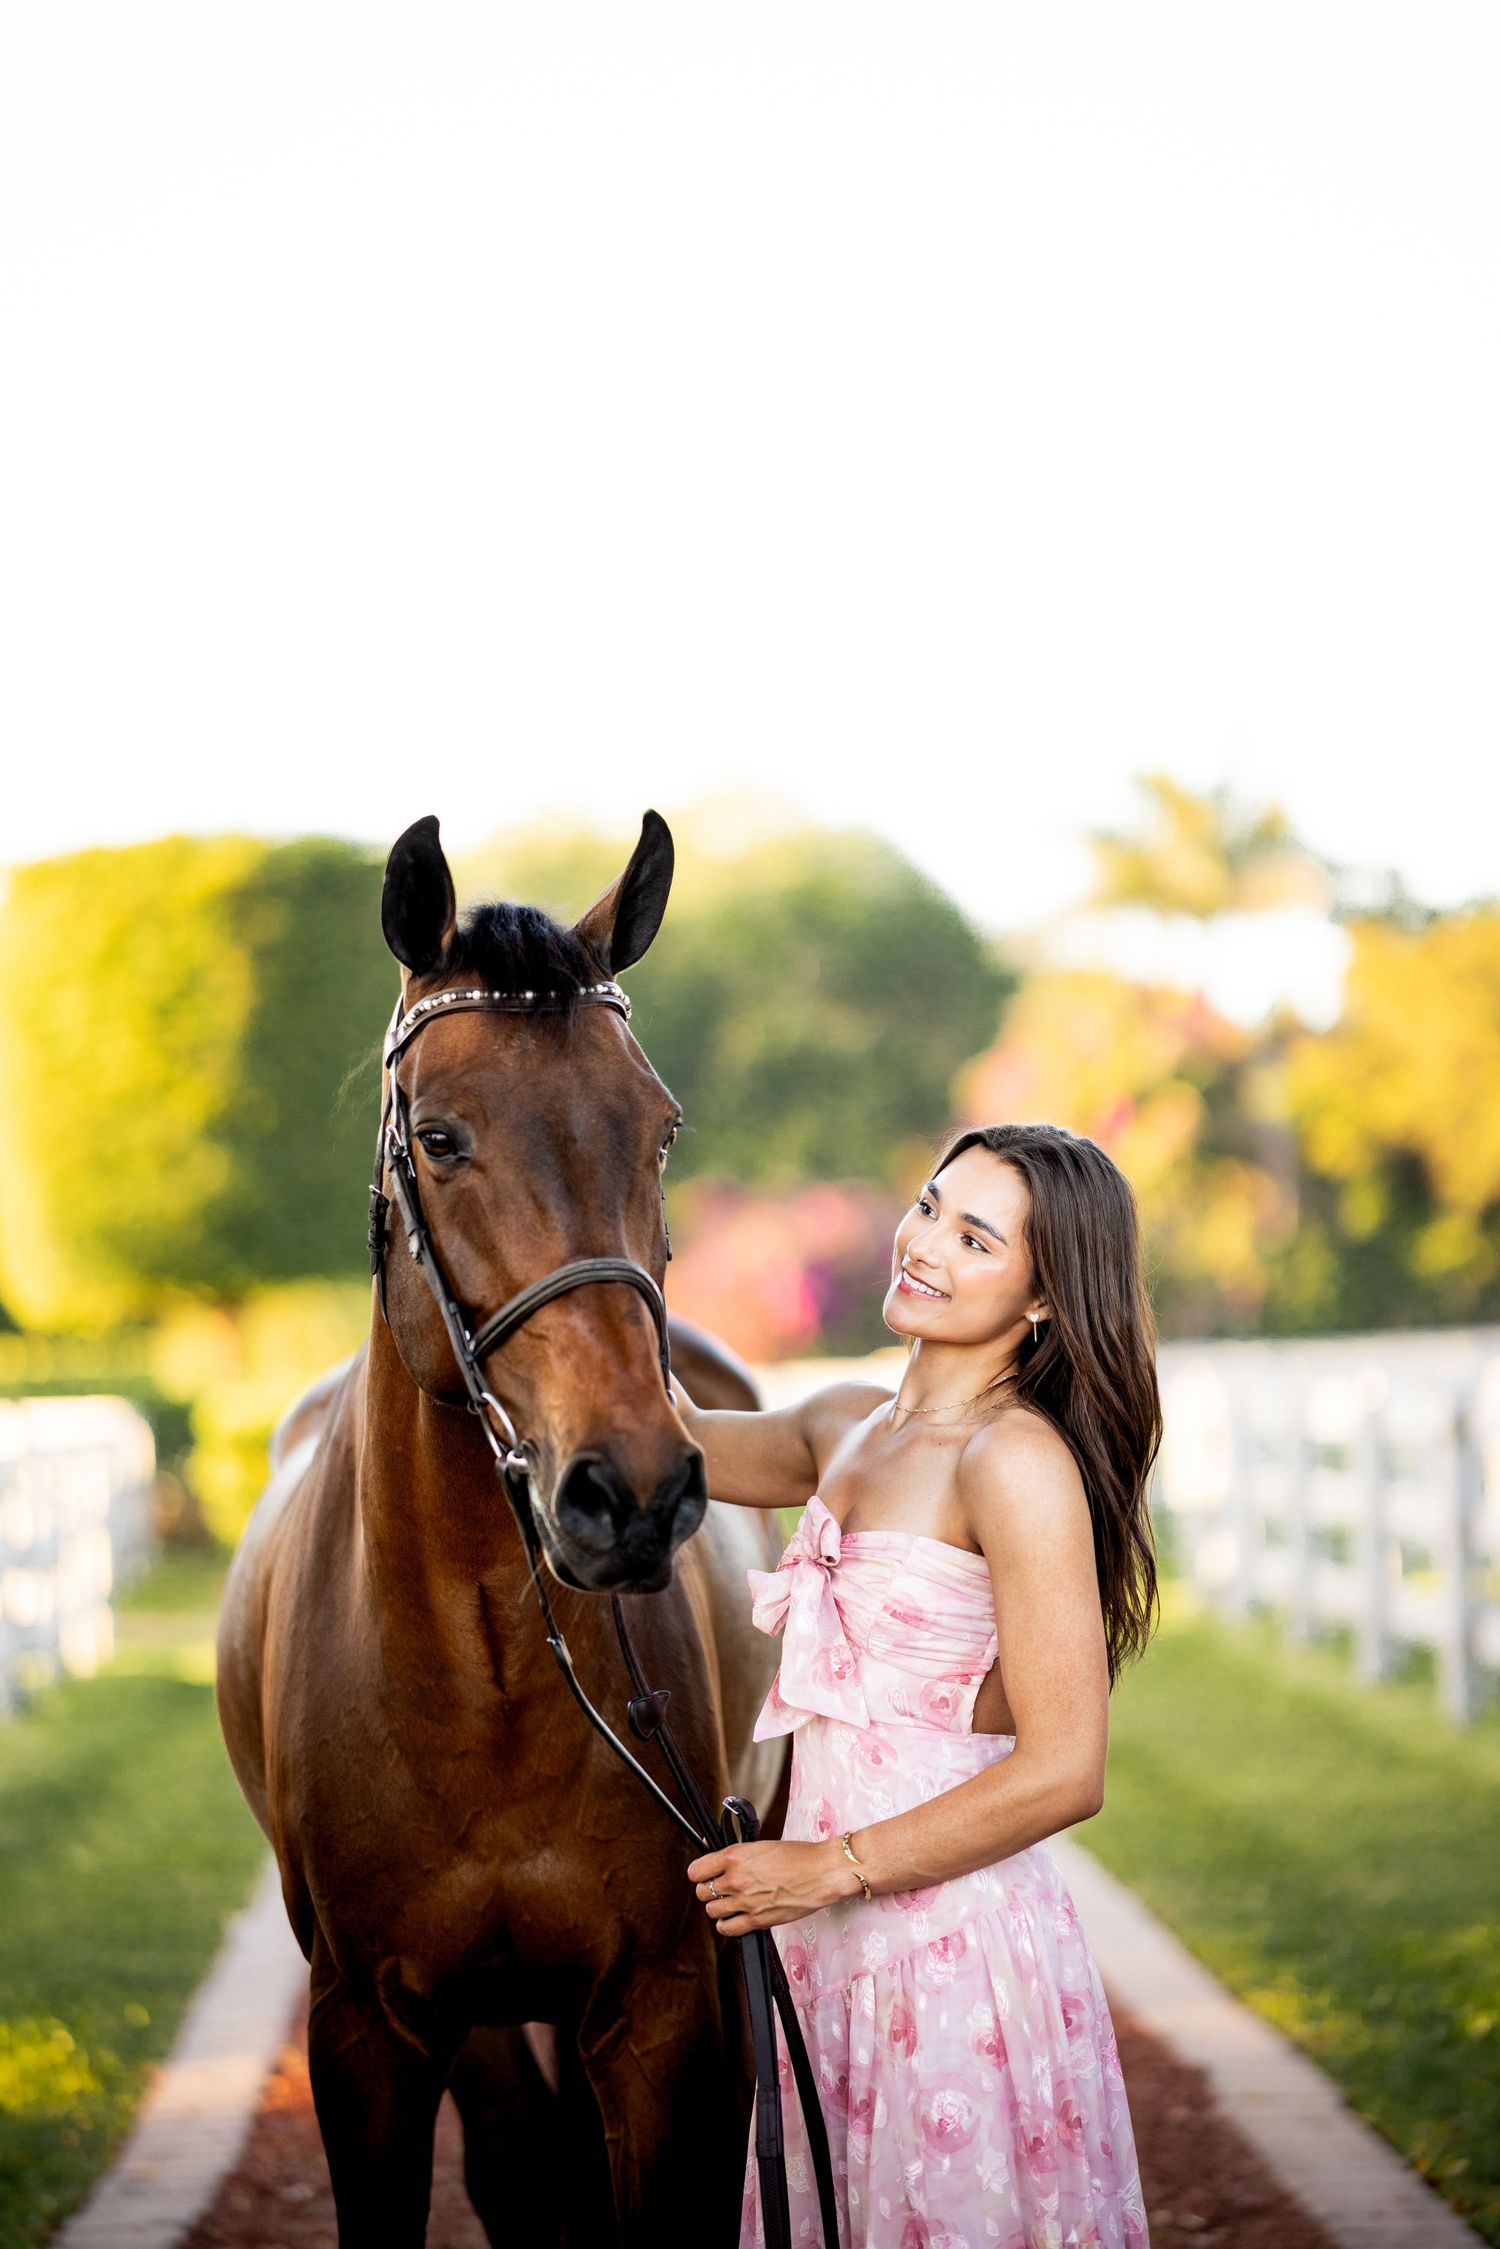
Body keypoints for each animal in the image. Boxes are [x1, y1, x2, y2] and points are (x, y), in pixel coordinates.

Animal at [216, 810, 786, 2247]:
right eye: (439, 1136)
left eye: (662, 1130)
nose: (631, 1488)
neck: (483, 1689)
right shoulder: (372, 2031)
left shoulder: (663, 2013)